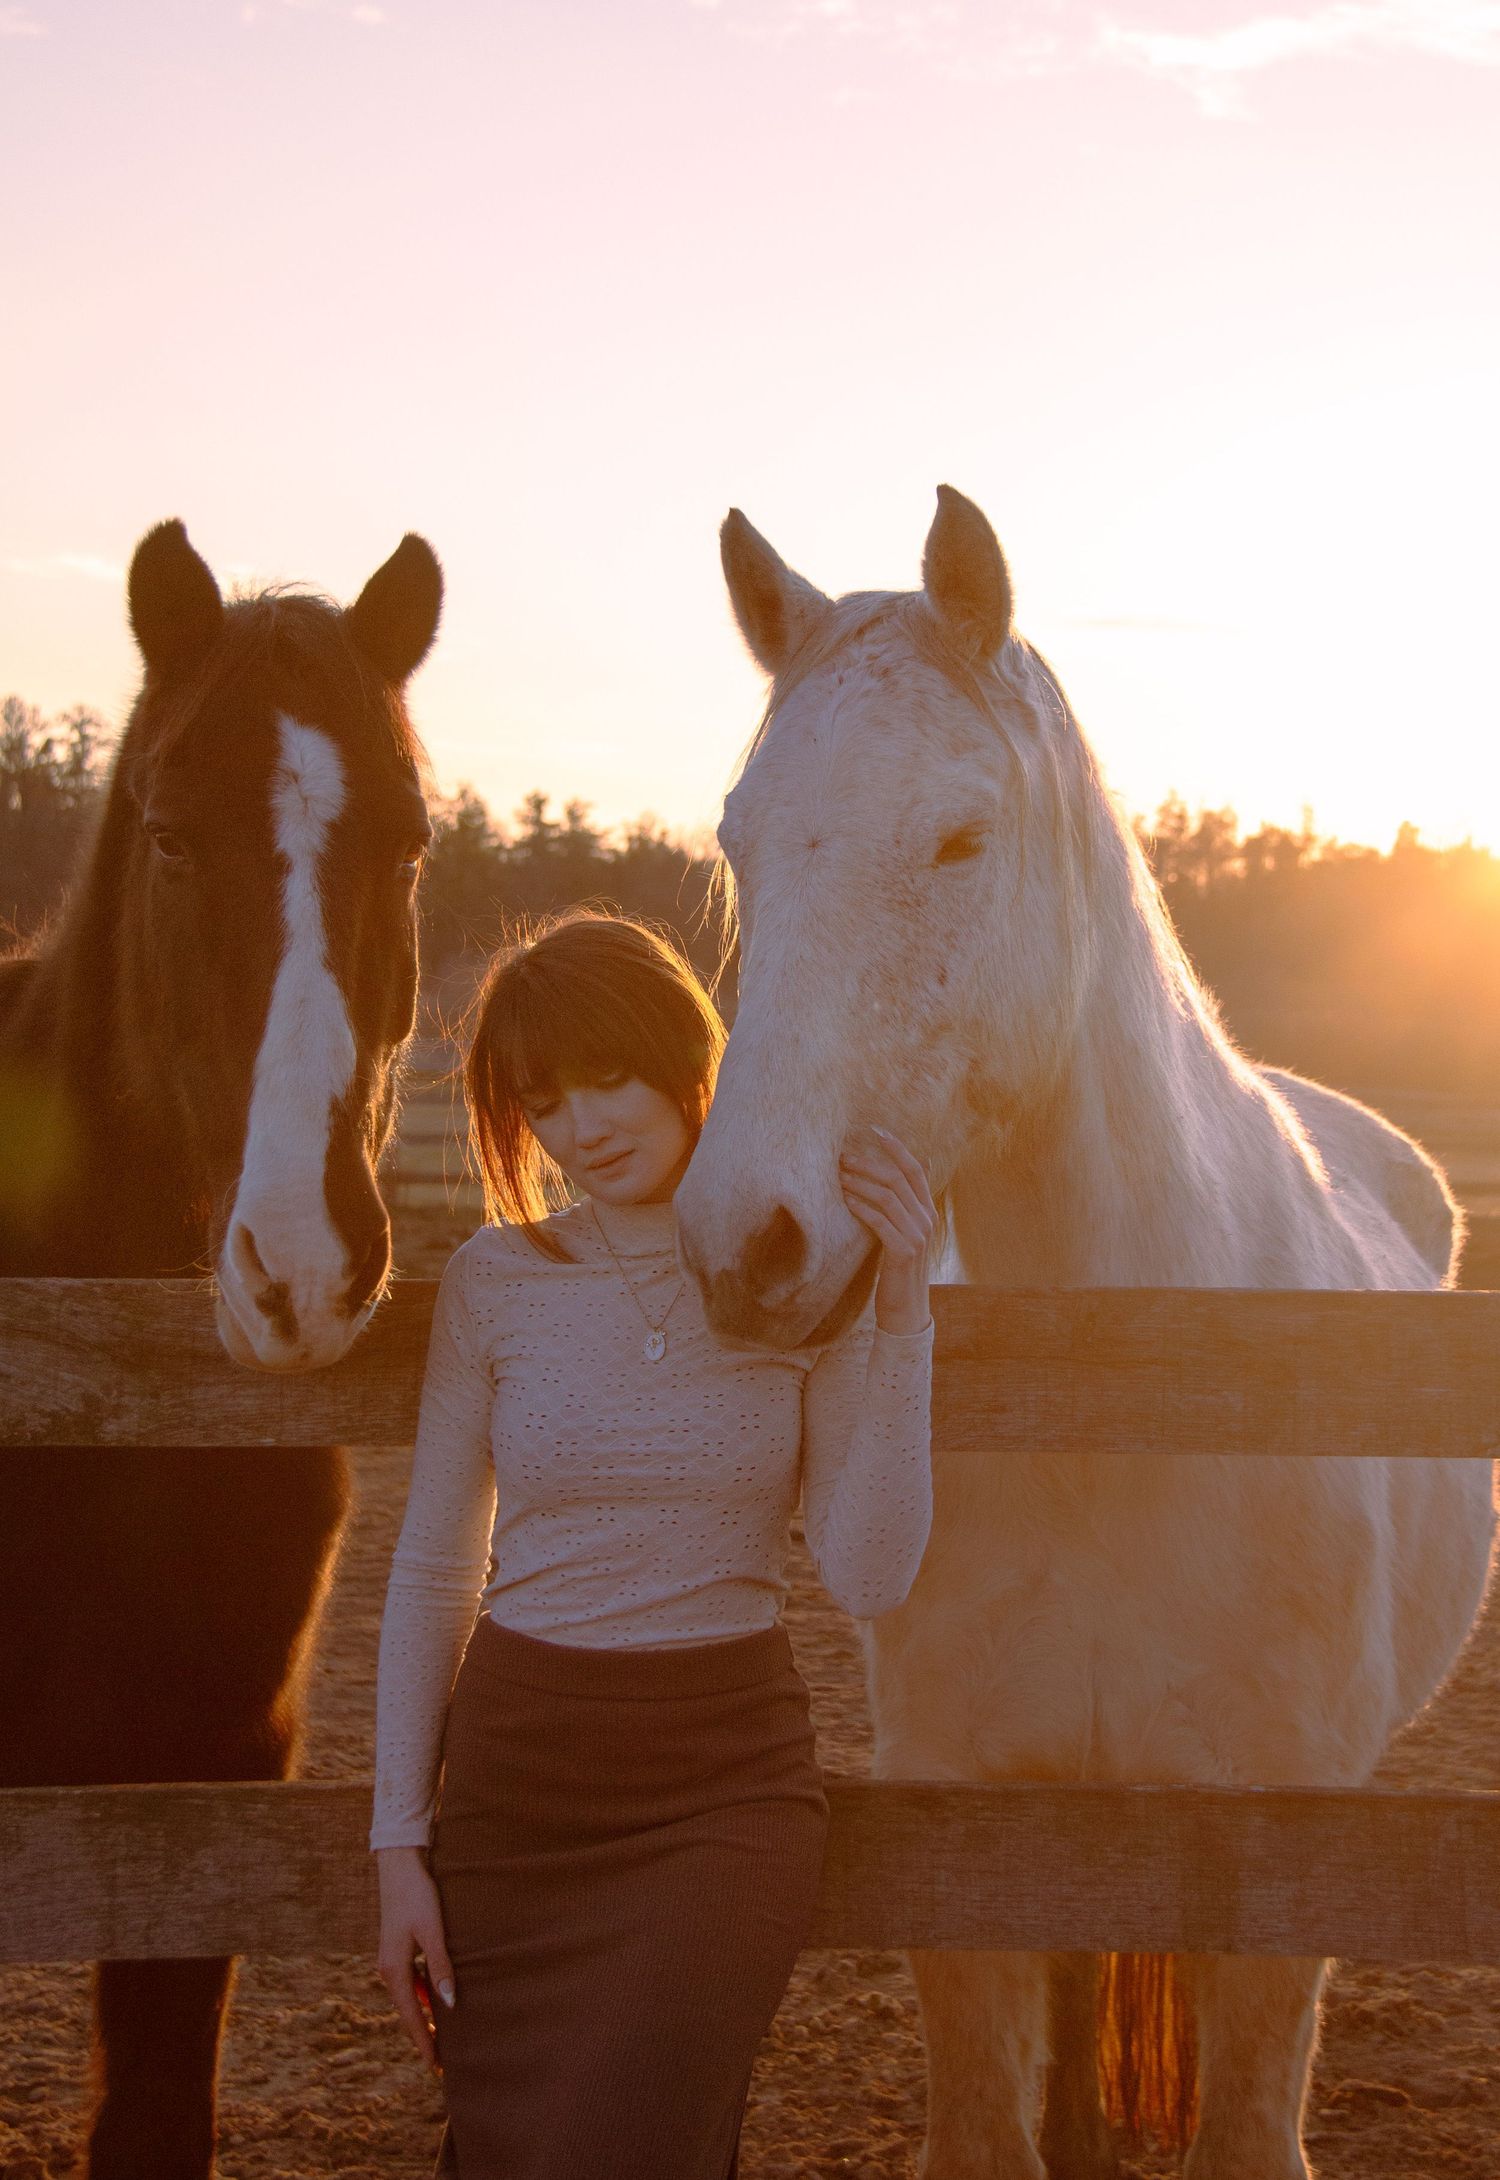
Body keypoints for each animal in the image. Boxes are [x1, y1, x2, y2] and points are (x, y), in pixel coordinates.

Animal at [675, 485, 1495, 2180]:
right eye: (739, 843)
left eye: (959, 838)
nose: (743, 1242)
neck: (1129, 1412)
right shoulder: (969, 1847)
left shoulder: (1277, 1891)